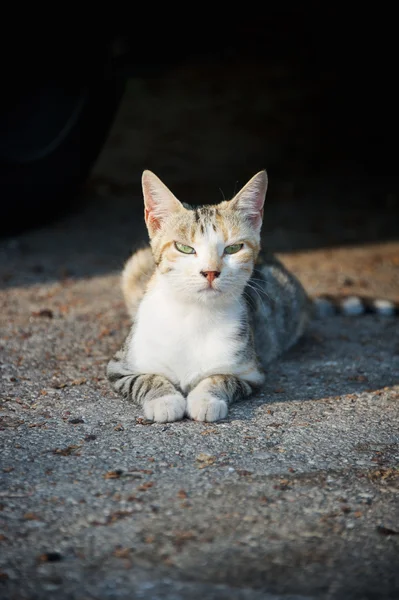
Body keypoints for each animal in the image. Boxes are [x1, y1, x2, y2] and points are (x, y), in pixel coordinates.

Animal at [107, 169, 399, 422]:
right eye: (184, 248)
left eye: (233, 248)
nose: (210, 272)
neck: (195, 315)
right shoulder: (119, 366)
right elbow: (145, 378)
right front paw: (165, 400)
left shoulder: (251, 372)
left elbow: (221, 378)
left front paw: (206, 399)